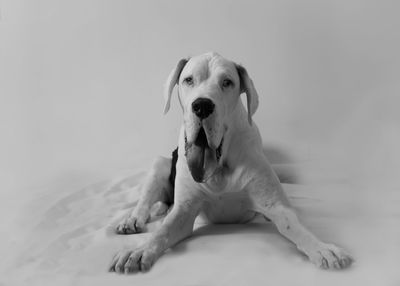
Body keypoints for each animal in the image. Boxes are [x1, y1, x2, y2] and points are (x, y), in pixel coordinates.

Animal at [108, 52, 354, 274]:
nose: (202, 106)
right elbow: (162, 231)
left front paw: (322, 248)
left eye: (227, 82)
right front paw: (139, 251)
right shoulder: (183, 212)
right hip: (159, 165)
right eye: (188, 80)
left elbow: (295, 226)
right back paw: (133, 220)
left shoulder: (277, 206)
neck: (220, 169)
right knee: (146, 201)